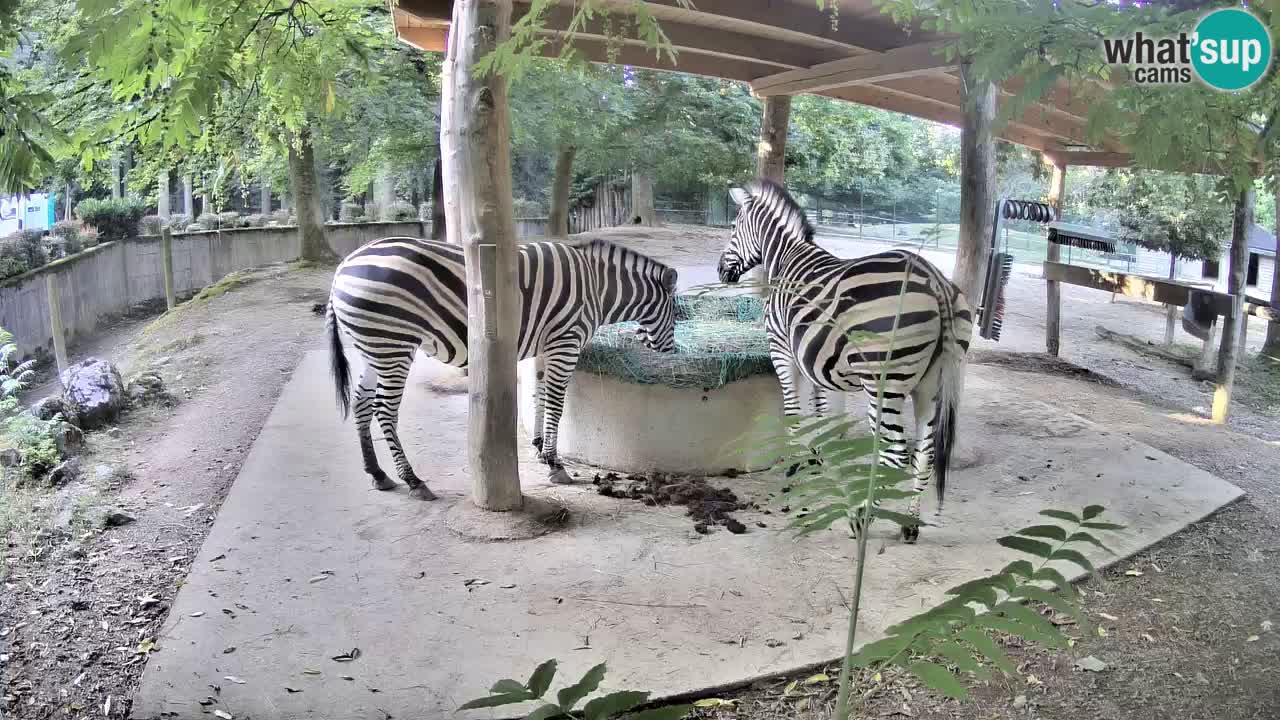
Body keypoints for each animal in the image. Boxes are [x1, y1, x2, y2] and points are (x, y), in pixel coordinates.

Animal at [326, 236, 678, 500]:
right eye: (678, 314)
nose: (672, 351)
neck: (597, 286)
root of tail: (343, 267)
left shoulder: (545, 346)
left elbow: (540, 396)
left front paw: (540, 449)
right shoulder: (565, 342)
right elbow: (555, 403)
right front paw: (555, 464)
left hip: (373, 349)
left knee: (361, 403)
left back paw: (377, 473)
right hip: (393, 346)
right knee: (384, 410)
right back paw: (413, 479)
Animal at [716, 180, 972, 542]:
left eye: (733, 226)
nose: (721, 272)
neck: (786, 257)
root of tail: (935, 280)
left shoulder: (783, 351)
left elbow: (795, 418)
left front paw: (793, 480)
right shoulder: (818, 366)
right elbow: (822, 420)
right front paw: (819, 466)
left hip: (884, 385)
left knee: (895, 454)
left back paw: (861, 518)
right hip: (931, 386)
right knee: (924, 454)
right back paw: (909, 524)